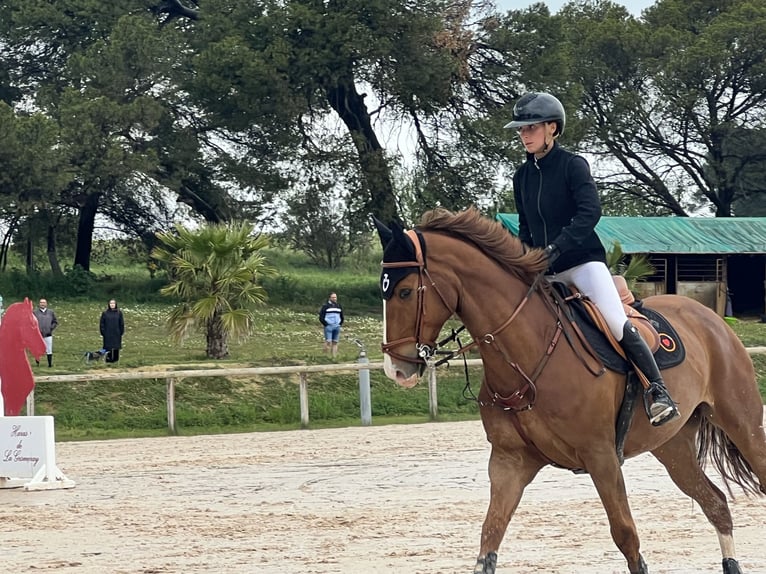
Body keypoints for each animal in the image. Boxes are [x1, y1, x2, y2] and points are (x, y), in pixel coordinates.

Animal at [374, 207, 766, 574]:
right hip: (673, 446)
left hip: (741, 424)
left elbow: (626, 536)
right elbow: (490, 536)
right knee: (715, 502)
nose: (397, 370)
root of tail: (711, 317)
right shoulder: (509, 462)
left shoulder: (601, 456)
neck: (528, 355)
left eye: (405, 291)